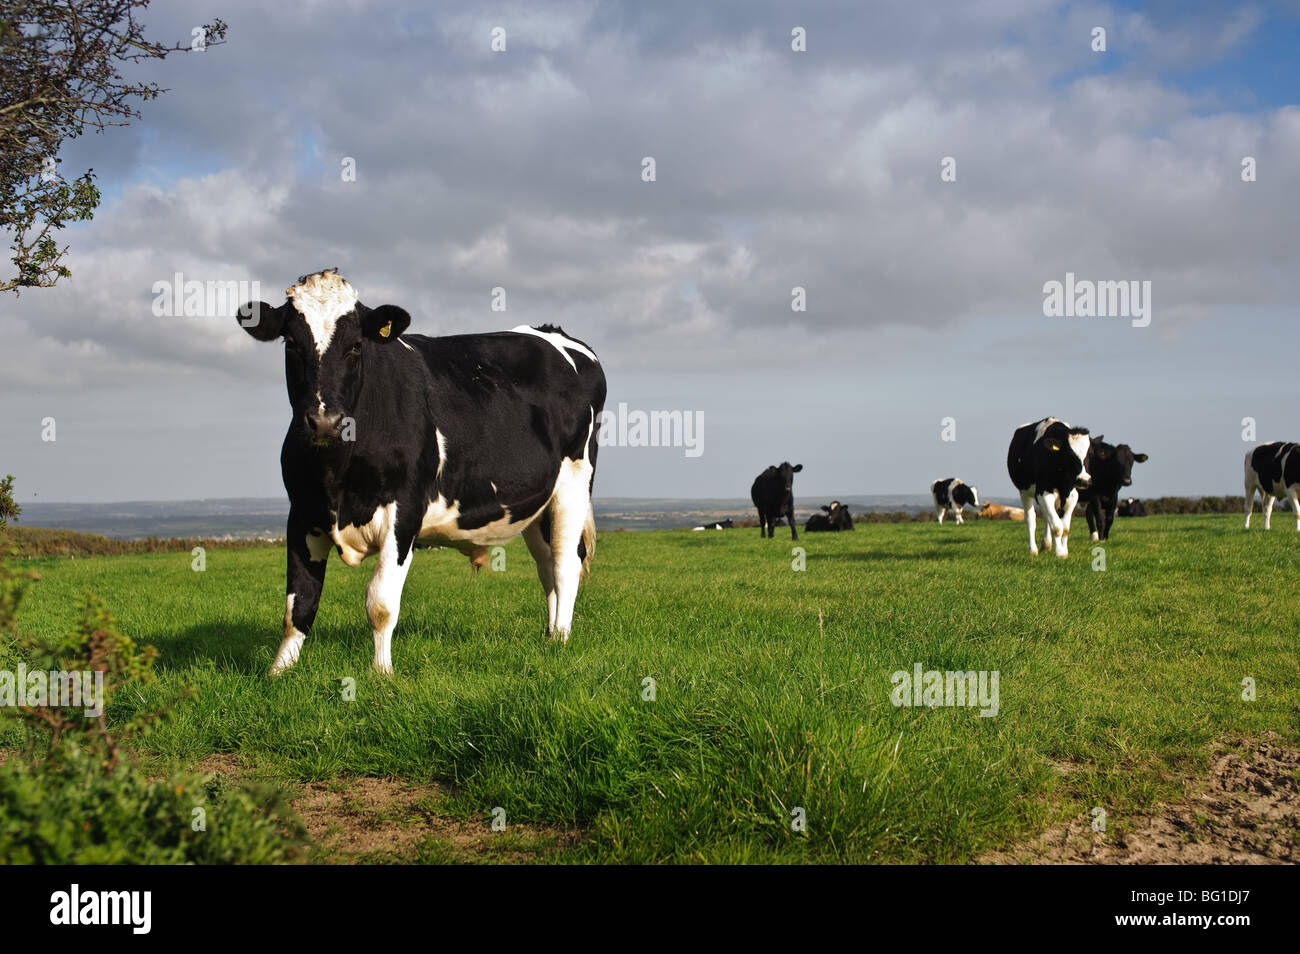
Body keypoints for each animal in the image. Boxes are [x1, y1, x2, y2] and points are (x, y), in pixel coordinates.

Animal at [236, 267, 605, 681]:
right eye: (291, 344)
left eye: (356, 346)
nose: (324, 422)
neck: (336, 472)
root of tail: (556, 334)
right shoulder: (301, 513)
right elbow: (298, 605)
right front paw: (278, 673)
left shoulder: (405, 510)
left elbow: (380, 603)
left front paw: (381, 673)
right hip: (537, 505)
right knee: (546, 567)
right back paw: (548, 635)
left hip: (574, 484)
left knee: (566, 564)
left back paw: (561, 640)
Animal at [1008, 418, 1092, 561]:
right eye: (1070, 454)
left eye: (1090, 455)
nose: (1084, 480)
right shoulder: (1043, 493)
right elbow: (1057, 527)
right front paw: (1060, 553)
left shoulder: (1072, 495)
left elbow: (1065, 528)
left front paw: (1064, 550)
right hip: (1025, 492)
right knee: (1031, 519)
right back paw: (1033, 550)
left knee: (1047, 517)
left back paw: (1046, 545)